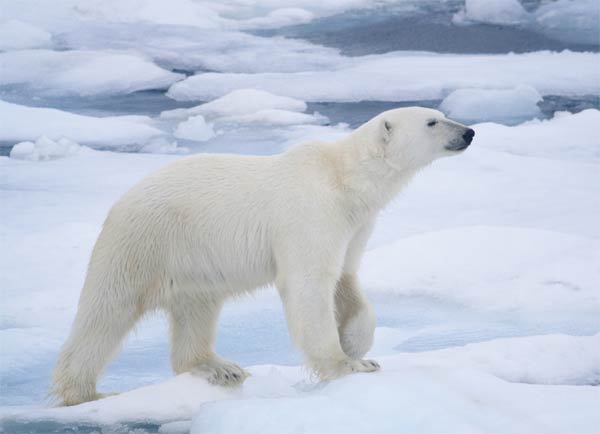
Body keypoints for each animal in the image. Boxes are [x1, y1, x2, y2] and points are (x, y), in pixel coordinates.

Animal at [51, 107, 474, 406]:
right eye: (433, 121)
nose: (469, 132)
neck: (344, 179)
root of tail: (121, 201)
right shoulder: (310, 211)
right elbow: (309, 283)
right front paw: (347, 365)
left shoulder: (353, 224)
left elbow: (346, 278)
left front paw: (356, 344)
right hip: (144, 243)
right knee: (107, 311)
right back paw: (85, 393)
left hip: (192, 261)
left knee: (197, 308)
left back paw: (218, 367)